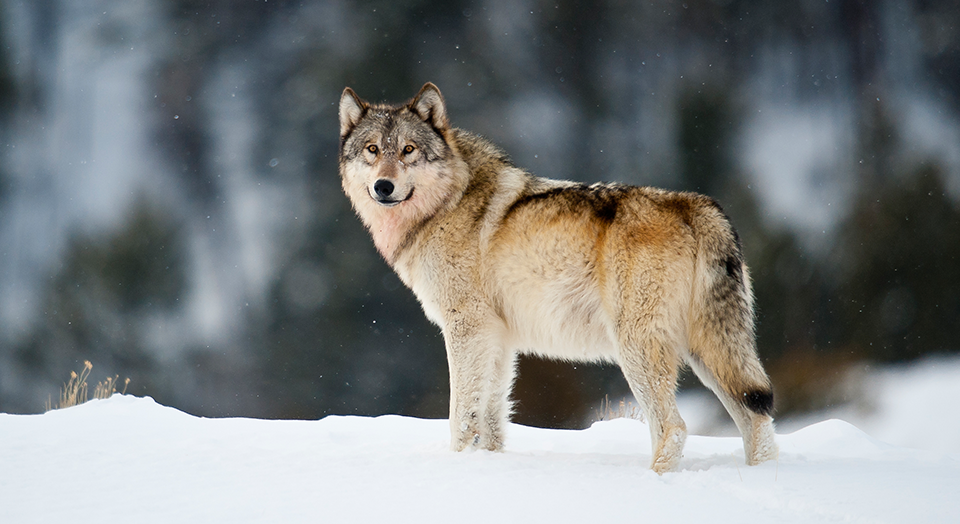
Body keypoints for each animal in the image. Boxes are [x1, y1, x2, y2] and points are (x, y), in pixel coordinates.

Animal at [338, 83, 780, 474]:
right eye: (372, 150)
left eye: (408, 150)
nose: (383, 186)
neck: (446, 204)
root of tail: (694, 204)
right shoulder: (498, 338)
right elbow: (491, 420)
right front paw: (487, 464)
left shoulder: (466, 329)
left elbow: (460, 417)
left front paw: (458, 465)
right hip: (706, 352)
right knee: (756, 418)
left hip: (638, 349)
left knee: (674, 427)